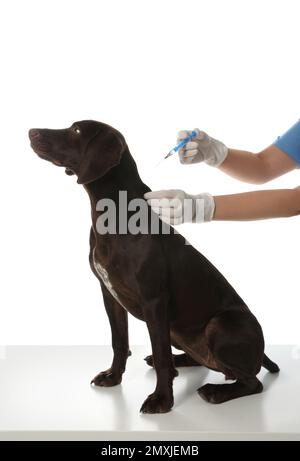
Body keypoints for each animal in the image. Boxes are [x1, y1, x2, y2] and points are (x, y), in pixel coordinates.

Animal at [29, 119, 280, 414]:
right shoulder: (109, 294)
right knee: (196, 359)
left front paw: (161, 399)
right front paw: (113, 376)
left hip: (219, 325)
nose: (31, 131)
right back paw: (180, 365)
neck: (112, 213)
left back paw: (216, 392)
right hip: (175, 330)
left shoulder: (154, 300)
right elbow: (119, 342)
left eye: (77, 130)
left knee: (252, 381)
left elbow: (161, 356)